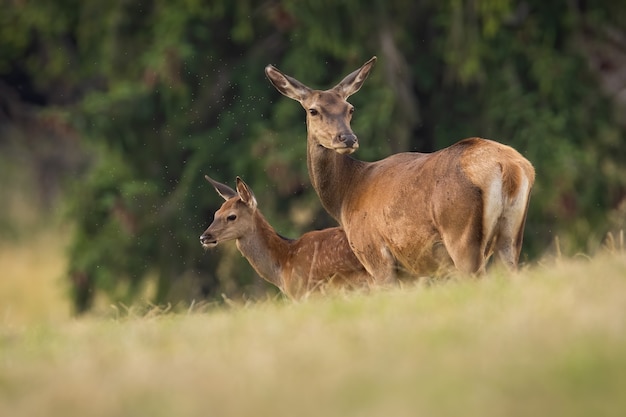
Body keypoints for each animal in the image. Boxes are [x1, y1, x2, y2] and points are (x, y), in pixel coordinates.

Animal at [264, 55, 532, 282]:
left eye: (350, 109)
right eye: (313, 110)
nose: (347, 138)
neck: (345, 197)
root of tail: (510, 168)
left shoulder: (375, 255)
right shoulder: (411, 272)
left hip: (461, 235)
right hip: (511, 235)